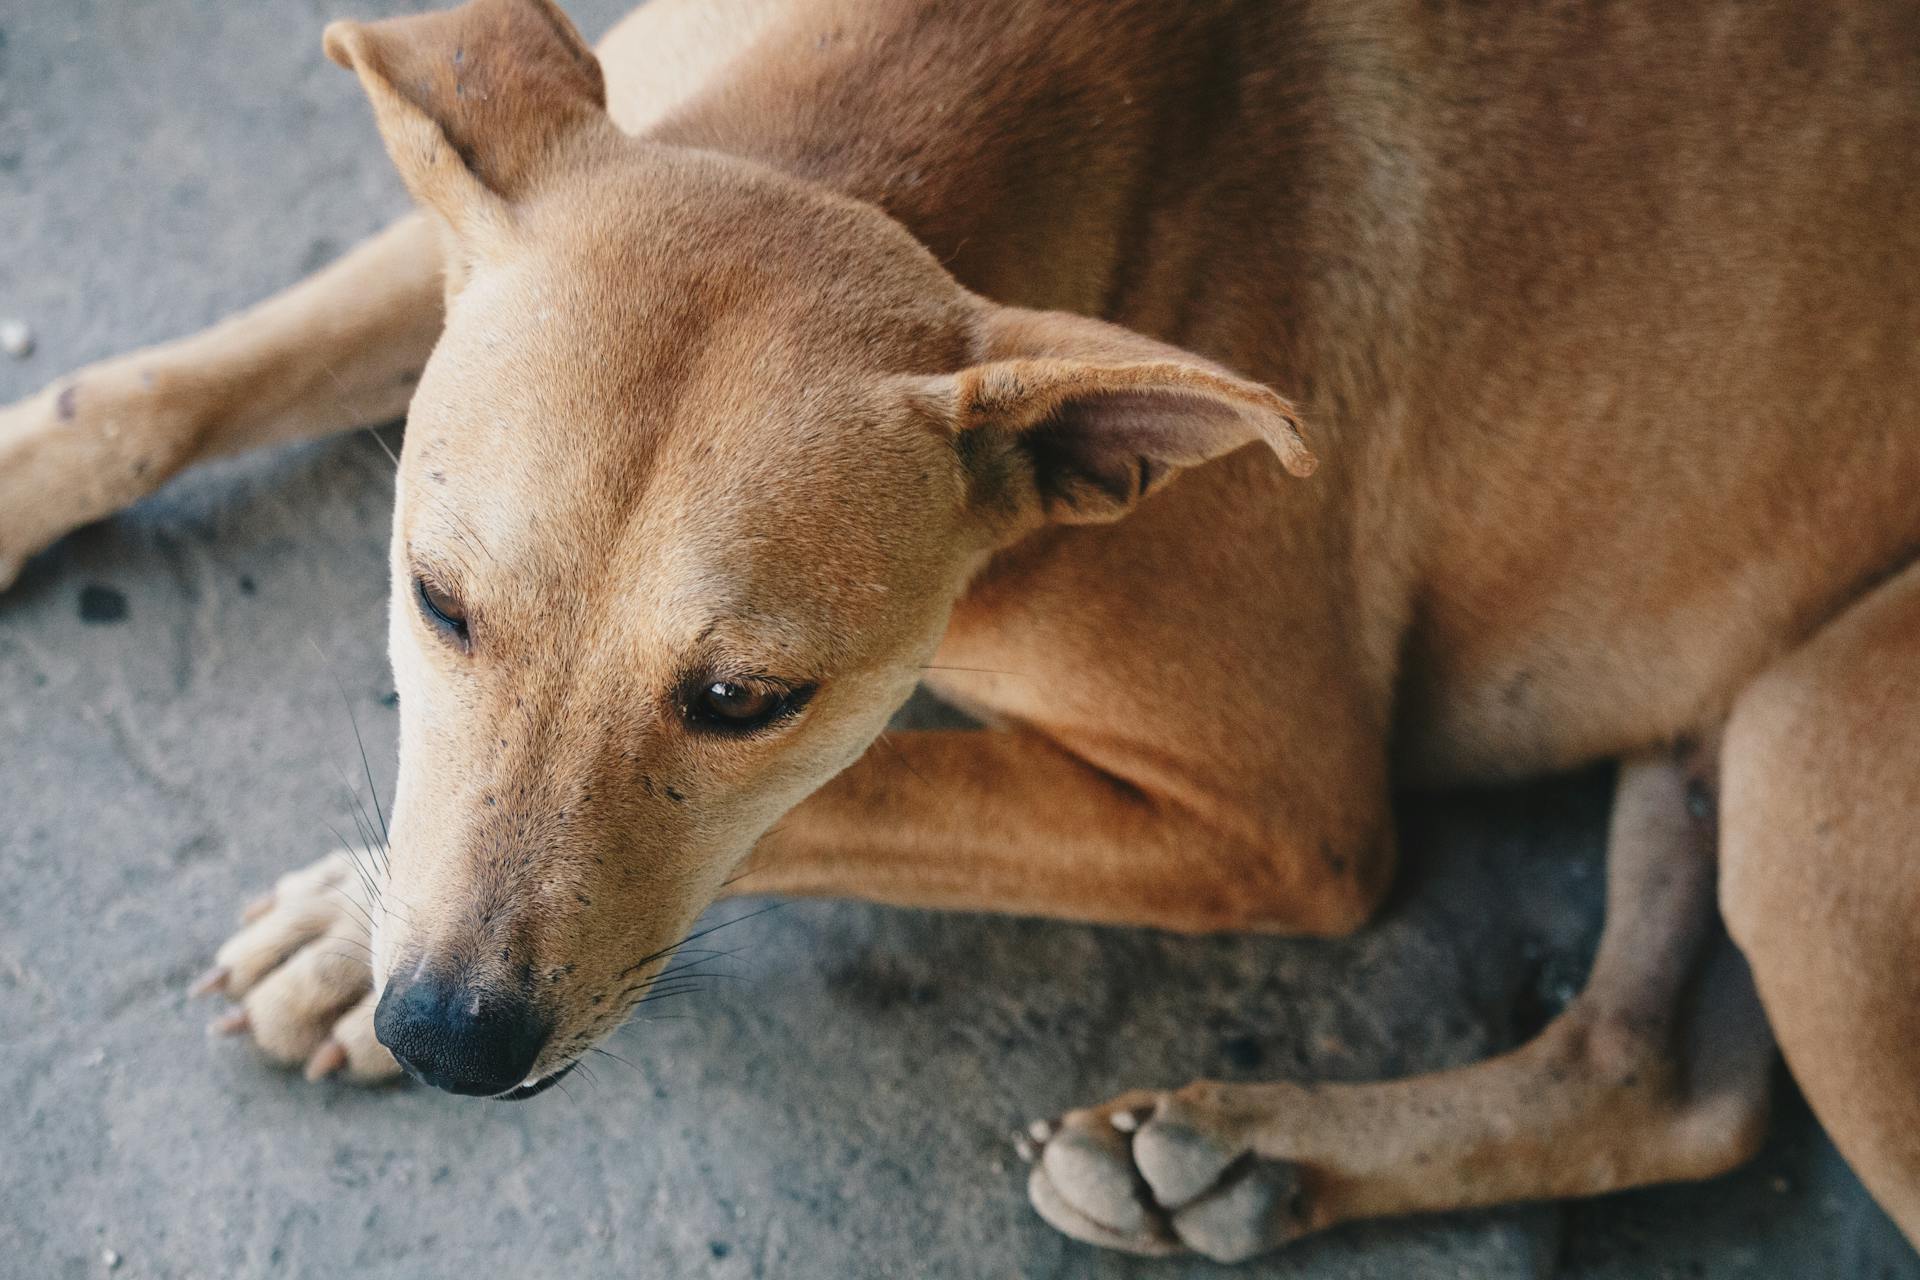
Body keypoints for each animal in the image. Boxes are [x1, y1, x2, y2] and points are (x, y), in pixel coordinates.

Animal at [3, 0, 1920, 1258]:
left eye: (746, 699)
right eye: (438, 601)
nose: (448, 1041)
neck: (894, 152)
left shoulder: (1281, 822)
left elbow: (849, 799)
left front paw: (345, 915)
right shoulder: (556, 170)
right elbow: (139, 396)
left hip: (1820, 760)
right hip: (1731, 758)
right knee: (1672, 1081)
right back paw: (1244, 1165)